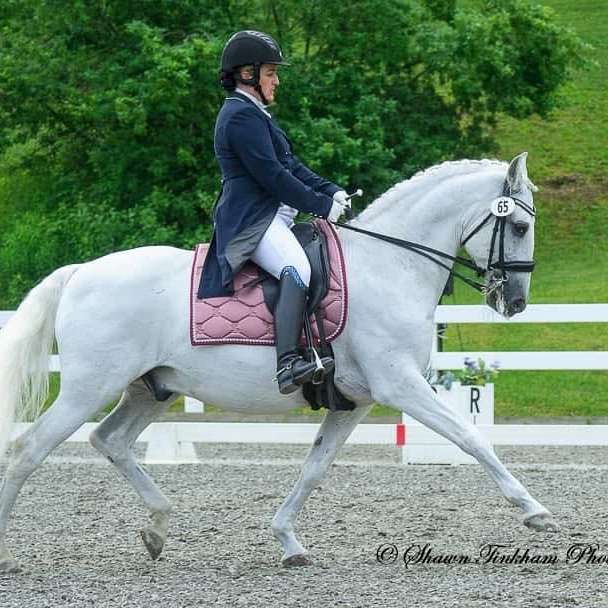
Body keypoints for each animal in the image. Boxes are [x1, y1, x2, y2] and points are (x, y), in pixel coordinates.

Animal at [0, 151, 556, 568]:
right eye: (519, 226)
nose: (515, 302)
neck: (389, 265)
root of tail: (80, 271)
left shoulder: (353, 402)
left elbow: (315, 467)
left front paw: (288, 541)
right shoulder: (400, 385)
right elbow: (470, 437)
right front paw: (535, 511)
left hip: (151, 389)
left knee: (109, 440)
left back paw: (158, 527)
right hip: (88, 389)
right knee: (28, 449)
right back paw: (10, 552)